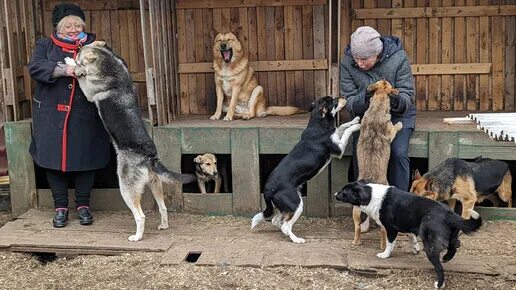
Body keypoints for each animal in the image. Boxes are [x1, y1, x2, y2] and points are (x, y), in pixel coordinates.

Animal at [64, 40, 194, 240]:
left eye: (80, 62)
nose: (75, 67)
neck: (111, 66)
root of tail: (149, 156)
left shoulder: (89, 92)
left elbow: (83, 81)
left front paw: (68, 61)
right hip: (155, 184)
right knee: (163, 208)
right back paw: (163, 225)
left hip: (126, 187)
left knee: (140, 216)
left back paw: (137, 237)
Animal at [250, 96, 358, 244]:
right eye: (334, 100)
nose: (343, 97)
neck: (318, 125)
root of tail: (267, 190)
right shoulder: (339, 150)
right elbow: (346, 130)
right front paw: (358, 125)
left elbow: (342, 126)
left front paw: (355, 120)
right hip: (296, 204)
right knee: (285, 225)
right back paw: (296, 239)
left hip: (281, 207)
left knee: (276, 221)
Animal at [336, 181, 482, 288]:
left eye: (343, 191)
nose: (335, 193)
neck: (370, 195)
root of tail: (449, 214)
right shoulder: (407, 226)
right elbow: (411, 238)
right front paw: (415, 248)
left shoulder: (390, 228)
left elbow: (389, 244)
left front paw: (385, 255)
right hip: (450, 237)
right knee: (455, 246)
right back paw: (446, 258)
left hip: (430, 246)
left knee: (440, 268)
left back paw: (439, 284)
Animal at [352, 80, 406, 249]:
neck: (377, 107)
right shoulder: (391, 132)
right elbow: (395, 127)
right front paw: (399, 124)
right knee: (384, 231)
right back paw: (383, 245)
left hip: (355, 211)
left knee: (357, 227)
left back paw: (356, 241)